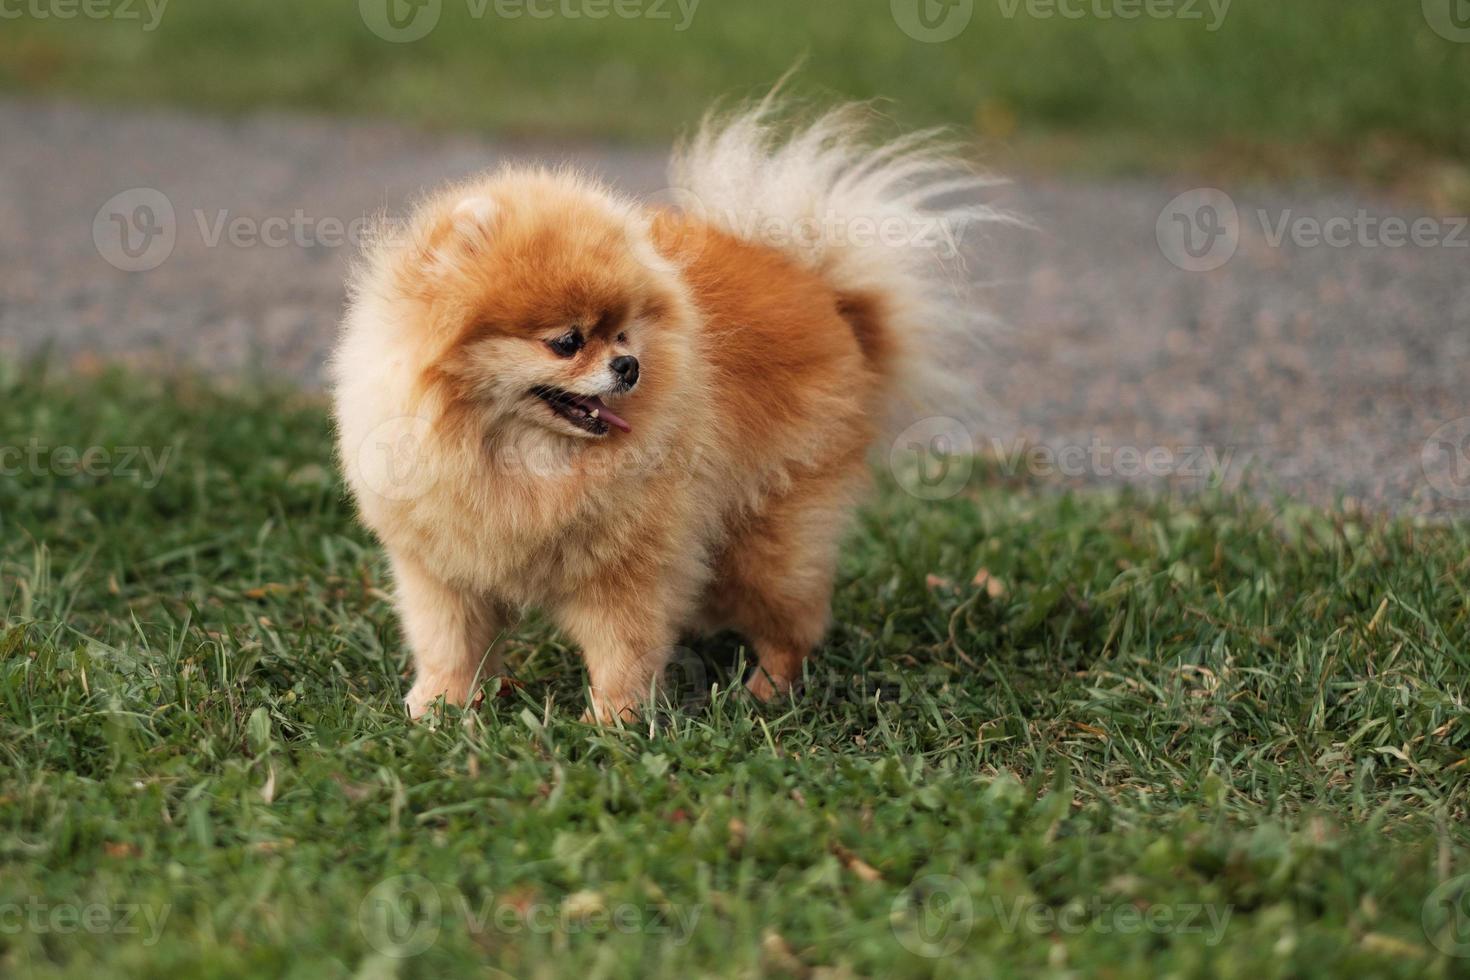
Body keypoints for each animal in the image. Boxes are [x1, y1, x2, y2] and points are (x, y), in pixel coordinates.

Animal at [333, 95, 999, 717]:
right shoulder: (443, 569)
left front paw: (612, 723)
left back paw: (765, 690)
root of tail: (824, 292)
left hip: (767, 539)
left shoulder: (626, 572)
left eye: (625, 333)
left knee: (793, 621)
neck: (519, 460)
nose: (630, 366)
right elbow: (449, 645)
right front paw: (440, 710)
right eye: (567, 341)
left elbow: (622, 651)